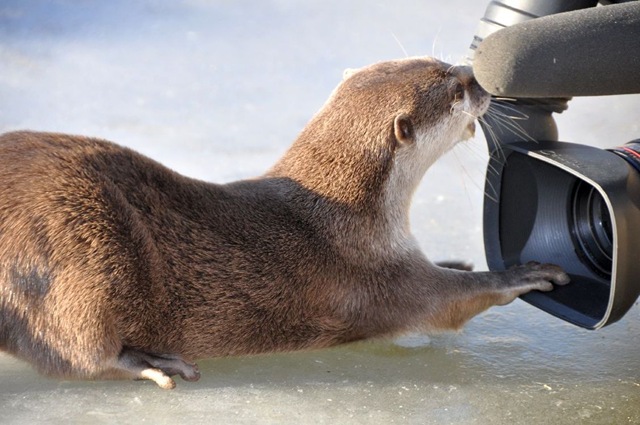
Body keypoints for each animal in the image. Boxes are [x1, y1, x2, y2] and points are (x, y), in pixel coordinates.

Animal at [0, 57, 569, 389]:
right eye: (457, 89)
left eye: (447, 64)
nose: (478, 78)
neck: (350, 213)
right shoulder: (379, 276)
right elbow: (446, 302)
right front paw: (520, 275)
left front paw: (455, 257)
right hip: (78, 253)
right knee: (75, 350)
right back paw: (151, 364)